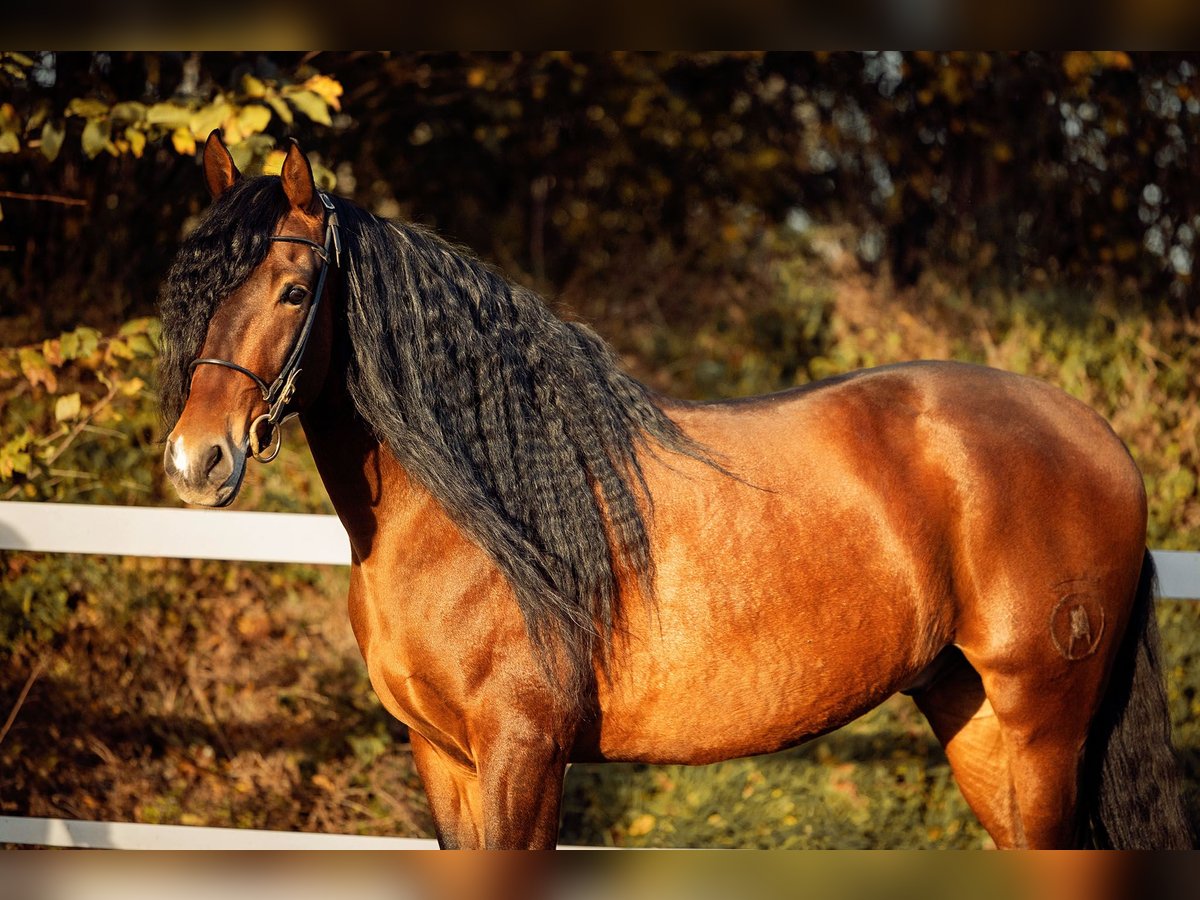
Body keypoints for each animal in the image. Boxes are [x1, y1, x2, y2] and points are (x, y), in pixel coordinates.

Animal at [159, 131, 1192, 849]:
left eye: (295, 291)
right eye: (193, 289)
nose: (197, 460)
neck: (481, 518)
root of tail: (1100, 440)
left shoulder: (522, 751)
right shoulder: (442, 758)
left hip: (1040, 729)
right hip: (975, 721)